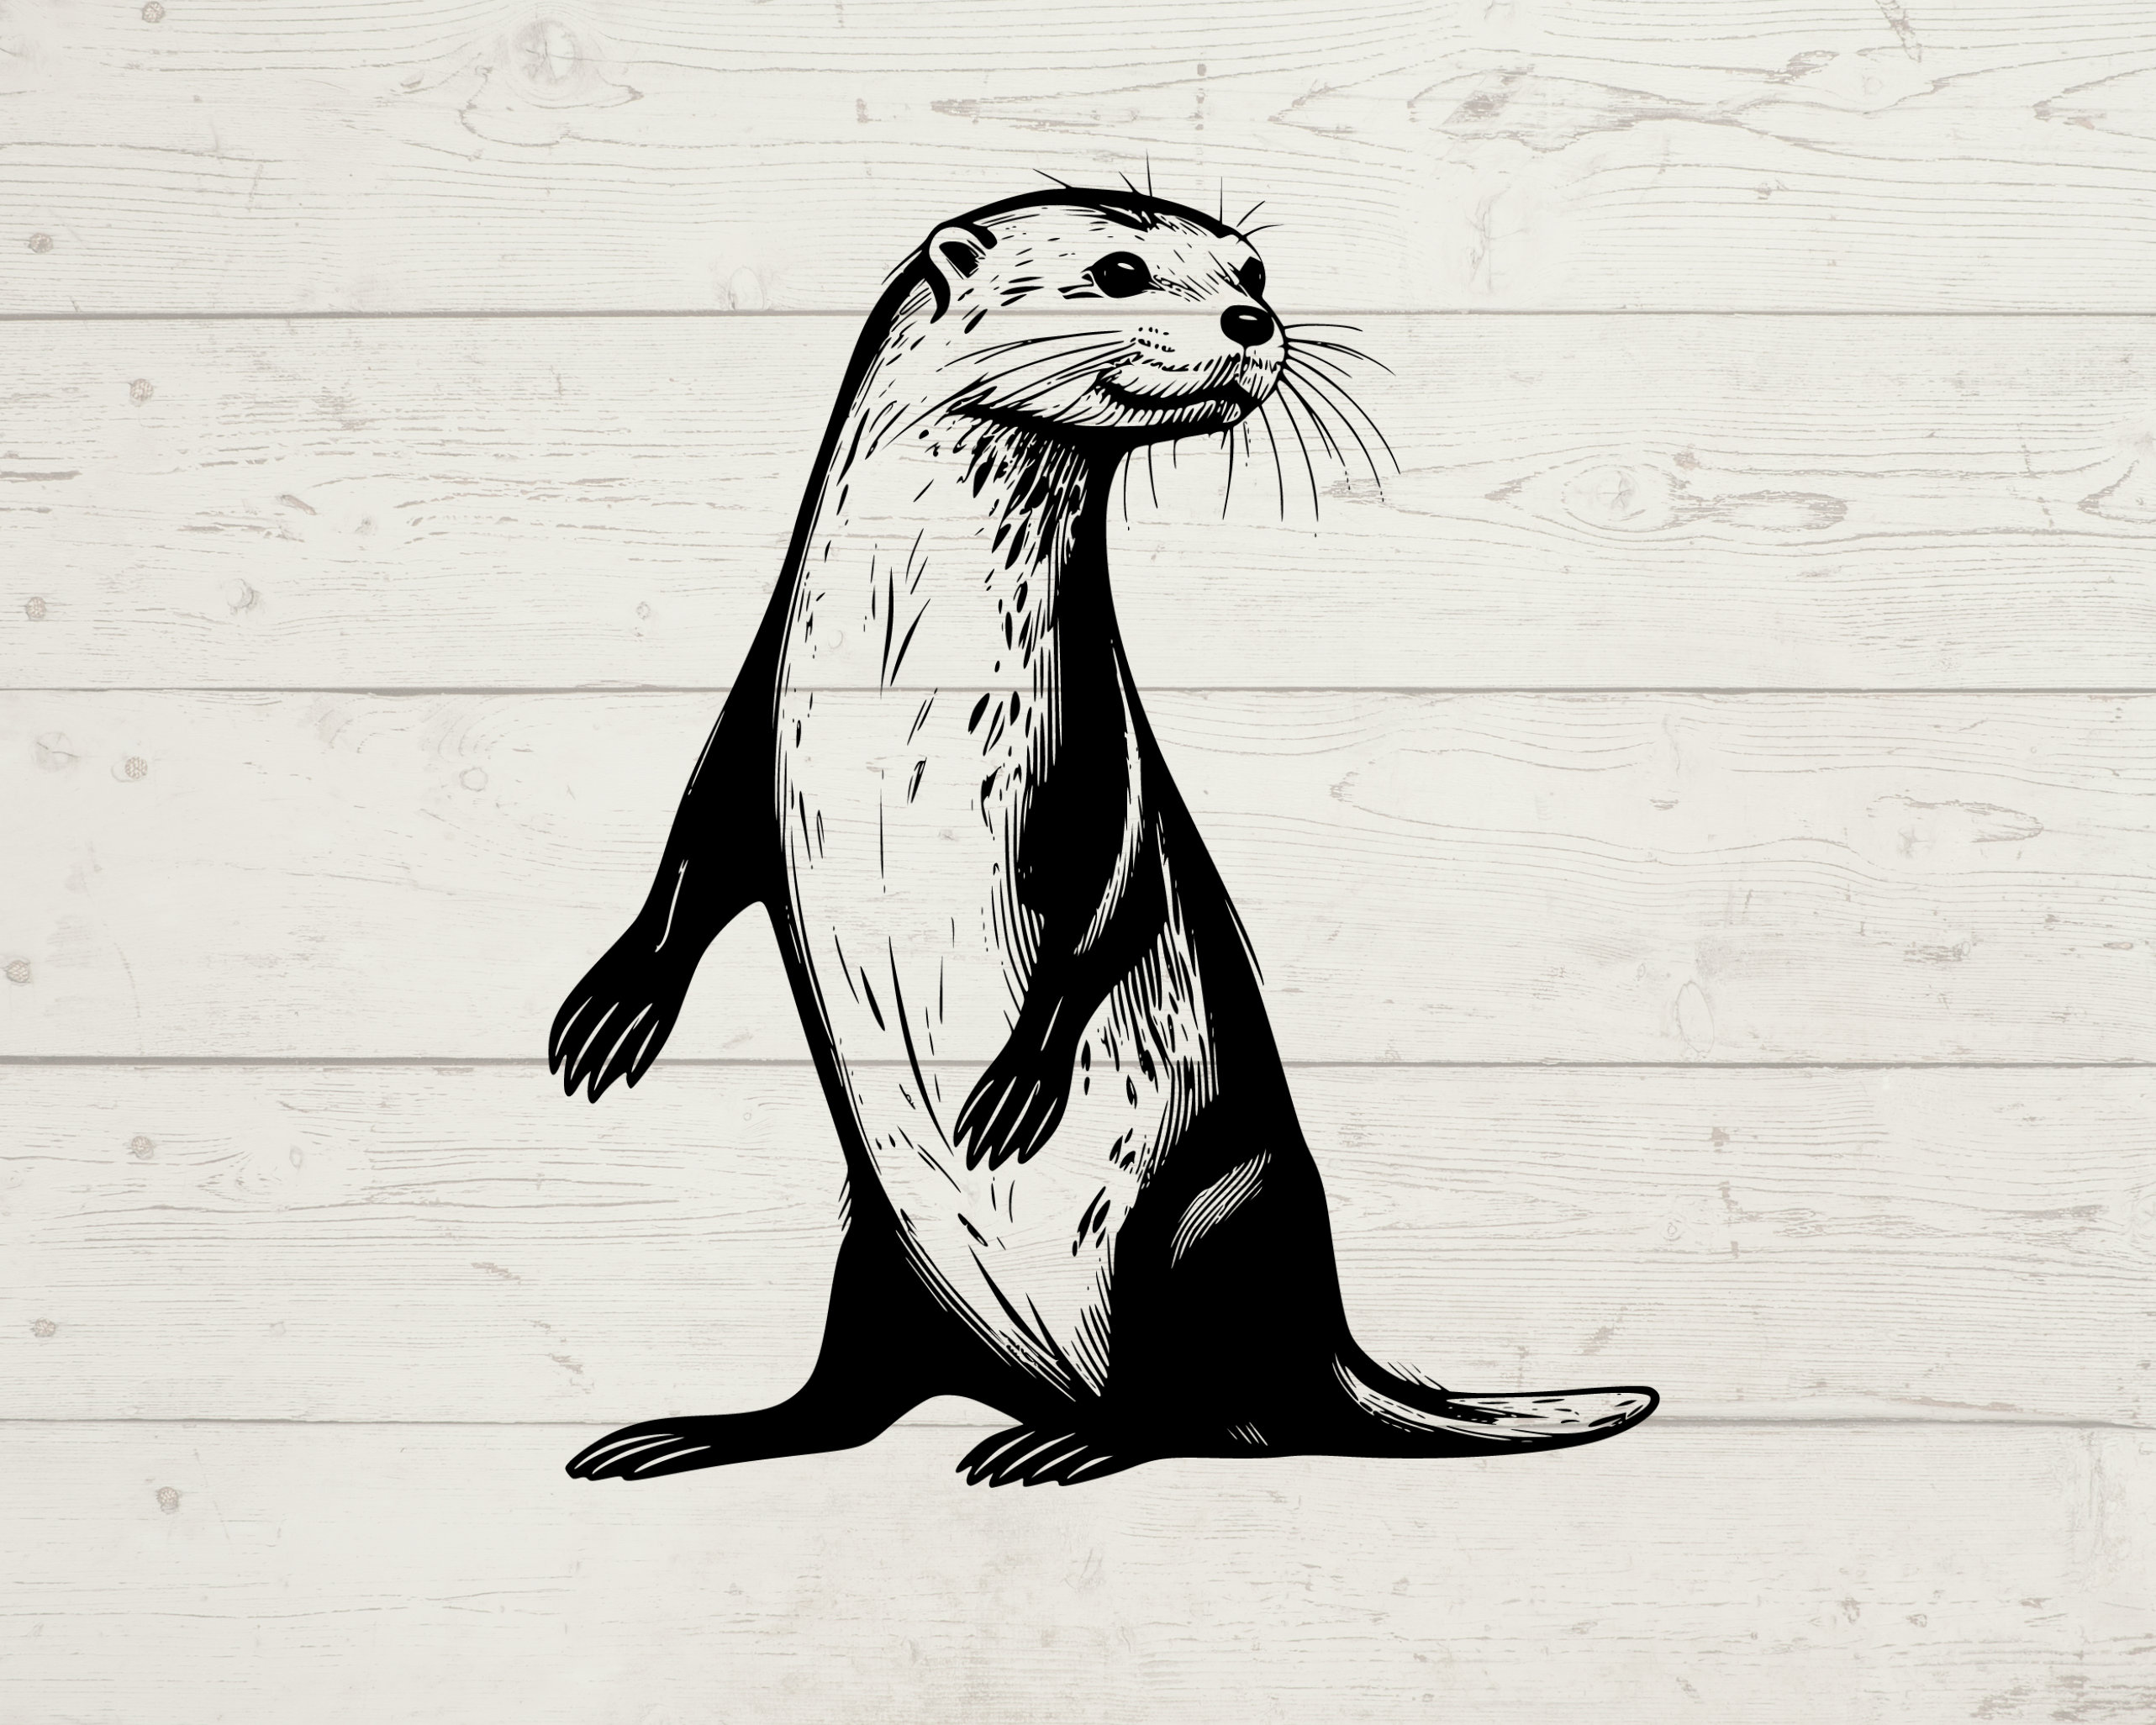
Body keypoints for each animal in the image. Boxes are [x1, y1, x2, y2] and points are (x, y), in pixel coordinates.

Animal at [549, 188, 1656, 1486]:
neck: (902, 663)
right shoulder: (758, 710)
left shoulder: (1101, 744)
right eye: (1120, 270)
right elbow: (696, 847)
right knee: (848, 1392)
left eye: (1251, 268)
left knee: (1203, 1415)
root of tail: (1326, 1354)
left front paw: (1020, 1079)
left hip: (1203, 1222)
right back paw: (703, 1433)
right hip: (879, 1250)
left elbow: (1116, 889)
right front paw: (619, 1003)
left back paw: (1071, 1445)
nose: (1251, 320)